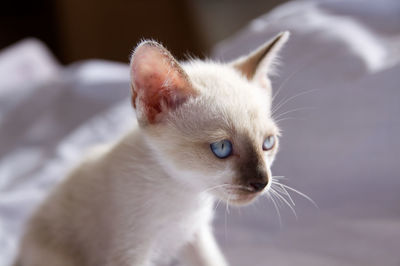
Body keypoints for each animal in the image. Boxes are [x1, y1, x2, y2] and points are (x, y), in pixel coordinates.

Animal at [14, 31, 290, 266]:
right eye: (221, 148)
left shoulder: (195, 236)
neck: (184, 193)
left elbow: (213, 261)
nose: (261, 182)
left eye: (268, 144)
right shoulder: (130, 253)